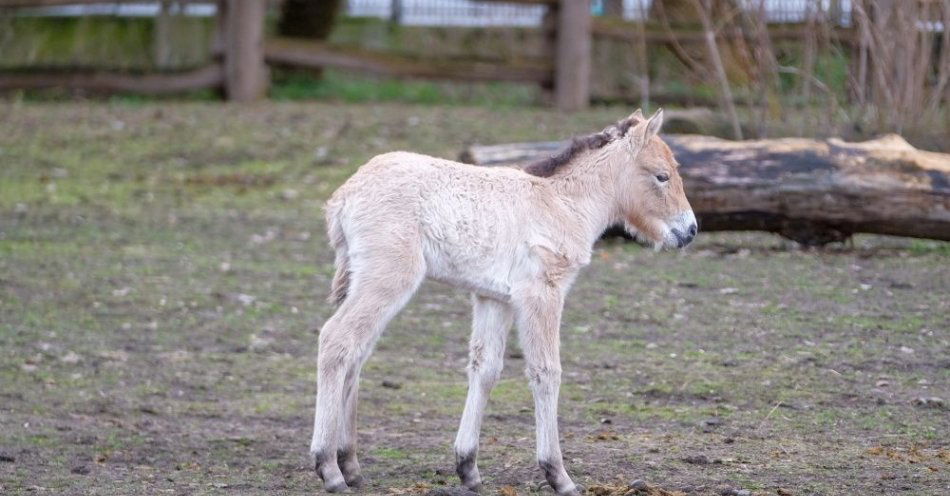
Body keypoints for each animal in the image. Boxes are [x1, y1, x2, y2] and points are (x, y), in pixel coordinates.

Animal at [312, 110, 700, 494]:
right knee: (336, 340)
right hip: (389, 277)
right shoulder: (542, 291)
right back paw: (329, 467)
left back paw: (350, 464)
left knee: (356, 353)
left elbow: (485, 369)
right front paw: (558, 475)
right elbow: (546, 371)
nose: (691, 230)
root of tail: (344, 196)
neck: (562, 204)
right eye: (662, 176)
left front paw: (467, 467)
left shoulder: (493, 298)